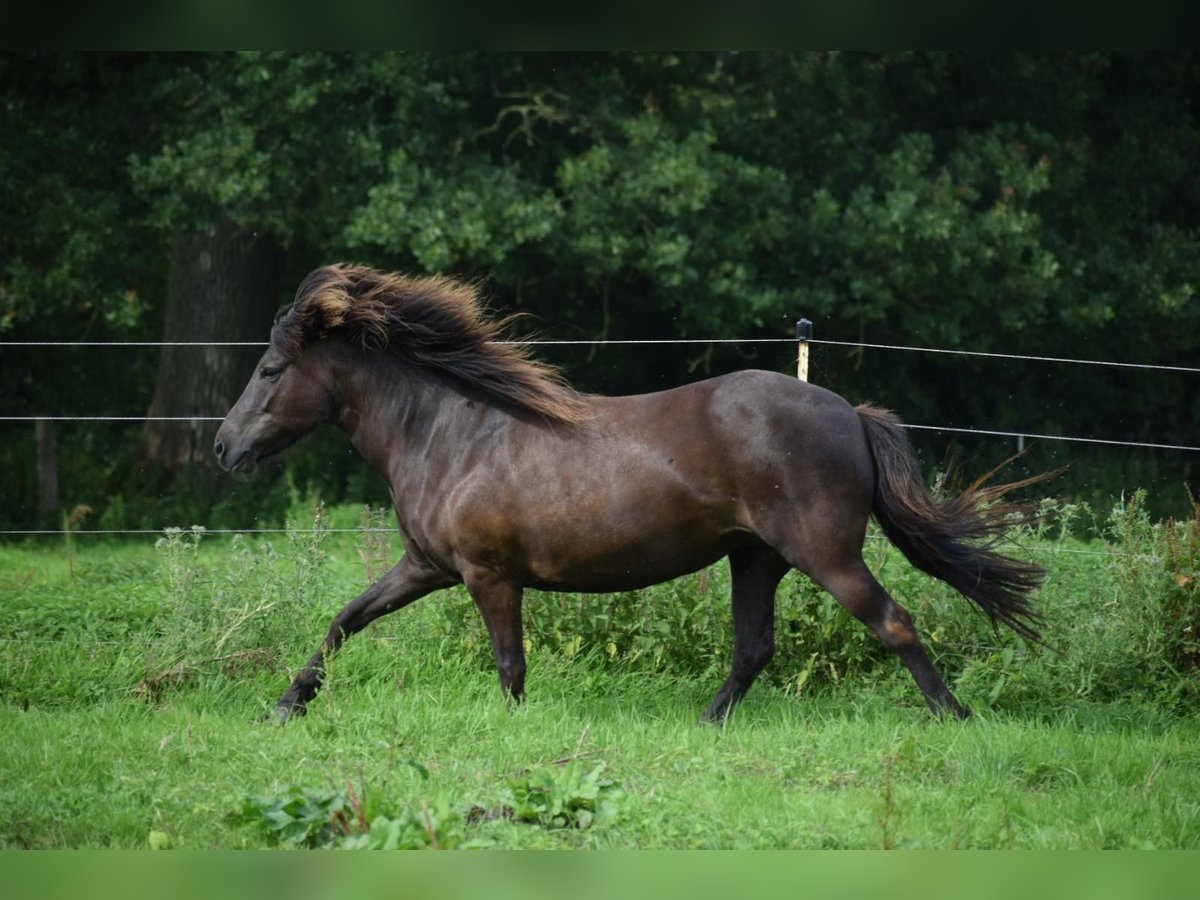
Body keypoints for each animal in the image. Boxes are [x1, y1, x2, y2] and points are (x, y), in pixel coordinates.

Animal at [213, 266, 1041, 724]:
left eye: (269, 370)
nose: (223, 448)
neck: (451, 432)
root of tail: (851, 414)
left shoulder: (488, 577)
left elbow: (509, 666)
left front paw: (512, 732)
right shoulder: (426, 567)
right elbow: (345, 620)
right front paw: (286, 706)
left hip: (826, 555)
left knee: (893, 624)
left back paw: (956, 718)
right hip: (756, 559)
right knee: (754, 647)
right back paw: (705, 723)